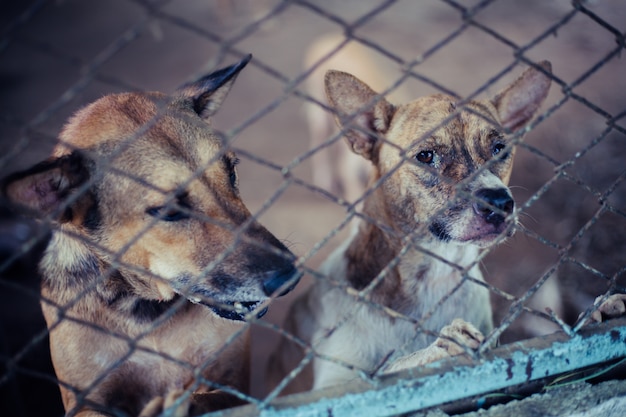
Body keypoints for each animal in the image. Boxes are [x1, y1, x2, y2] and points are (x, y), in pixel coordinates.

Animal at [1, 56, 298, 416]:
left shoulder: (235, 384)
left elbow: (207, 397)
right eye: (170, 210)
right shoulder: (83, 400)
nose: (289, 277)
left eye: (231, 172)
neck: (147, 313)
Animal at [268, 60, 552, 392]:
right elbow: (386, 370)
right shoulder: (336, 386)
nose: (499, 202)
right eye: (425, 156)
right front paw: (438, 348)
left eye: (499, 149)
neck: (432, 278)